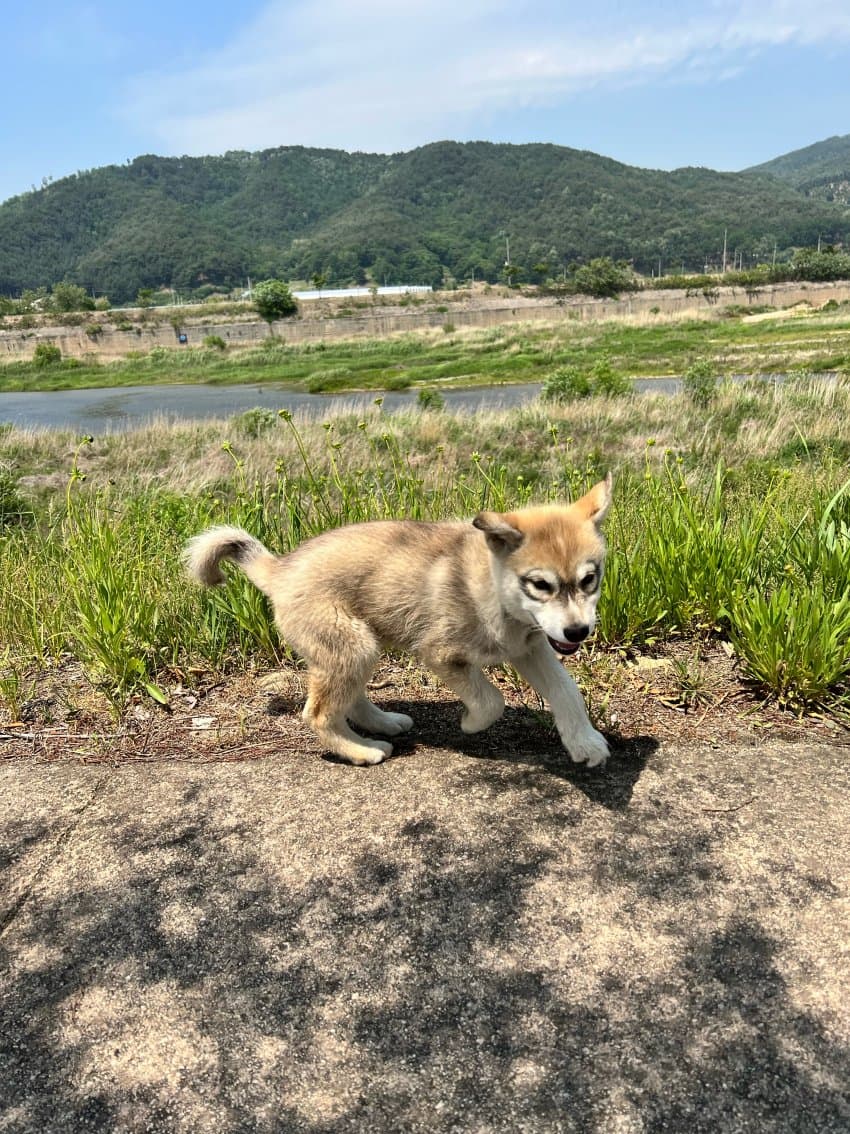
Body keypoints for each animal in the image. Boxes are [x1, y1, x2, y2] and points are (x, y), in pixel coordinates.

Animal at [185, 474, 612, 766]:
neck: (492, 590)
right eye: (540, 584)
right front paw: (470, 724)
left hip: (356, 648)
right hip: (353, 645)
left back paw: (383, 723)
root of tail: (280, 569)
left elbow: (567, 691)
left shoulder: (532, 647)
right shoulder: (440, 654)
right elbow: (491, 700)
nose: (578, 631)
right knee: (318, 713)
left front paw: (585, 742)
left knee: (349, 700)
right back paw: (362, 750)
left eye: (589, 579)